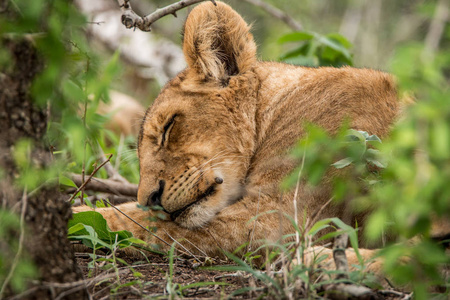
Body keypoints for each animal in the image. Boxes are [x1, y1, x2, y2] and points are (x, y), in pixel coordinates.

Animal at [75, 1, 402, 274]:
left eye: (169, 126)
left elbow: (130, 219)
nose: (151, 199)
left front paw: (75, 215)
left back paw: (318, 261)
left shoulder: (276, 220)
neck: (270, 112)